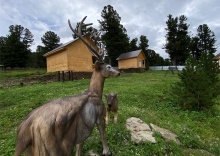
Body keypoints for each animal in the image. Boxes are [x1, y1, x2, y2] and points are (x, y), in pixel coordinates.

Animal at [14, 16, 119, 156]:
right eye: (108, 66)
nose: (118, 72)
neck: (95, 92)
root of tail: (25, 131)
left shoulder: (80, 132)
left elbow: (79, 147)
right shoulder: (100, 115)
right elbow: (103, 134)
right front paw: (107, 151)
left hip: (32, 150)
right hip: (53, 148)